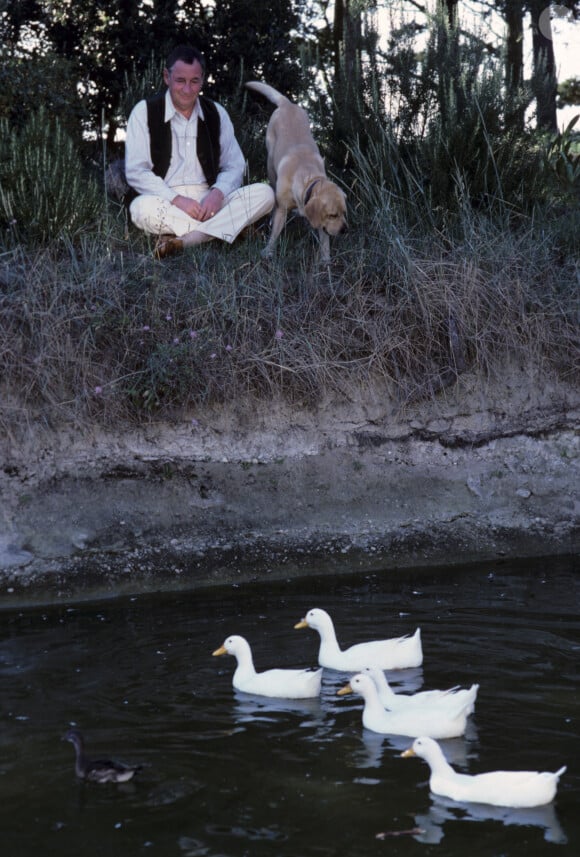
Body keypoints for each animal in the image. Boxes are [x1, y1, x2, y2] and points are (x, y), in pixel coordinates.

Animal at [244, 81, 344, 260]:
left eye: (344, 212)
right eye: (333, 215)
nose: (344, 230)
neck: (306, 175)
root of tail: (287, 103)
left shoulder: (321, 220)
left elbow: (324, 237)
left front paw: (326, 259)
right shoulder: (282, 209)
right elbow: (275, 233)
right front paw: (268, 251)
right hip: (270, 163)